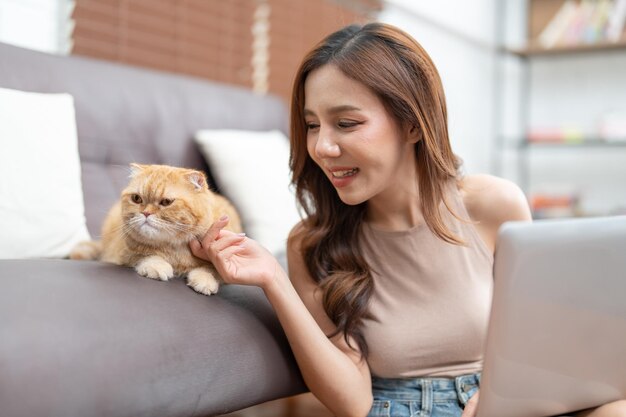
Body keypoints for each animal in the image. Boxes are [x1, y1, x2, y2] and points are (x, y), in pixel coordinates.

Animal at [70, 161, 241, 294]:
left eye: (166, 202)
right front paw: (158, 266)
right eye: (137, 198)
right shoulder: (124, 255)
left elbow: (212, 269)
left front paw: (205, 280)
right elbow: (146, 256)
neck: (175, 249)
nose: (146, 213)